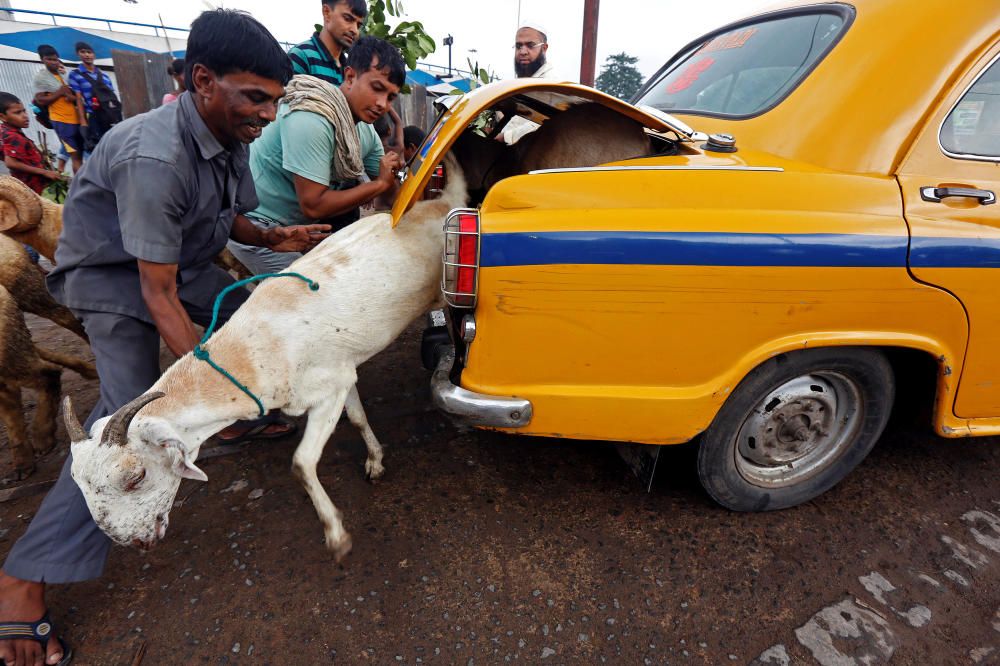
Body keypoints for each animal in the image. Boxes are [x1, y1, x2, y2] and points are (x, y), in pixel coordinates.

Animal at [64, 154, 470, 556]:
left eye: (136, 476)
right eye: (78, 483)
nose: (132, 541)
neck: (253, 349)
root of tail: (445, 202)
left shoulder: (324, 390)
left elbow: (302, 464)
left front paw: (336, 535)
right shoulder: (341, 374)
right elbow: (356, 417)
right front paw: (374, 461)